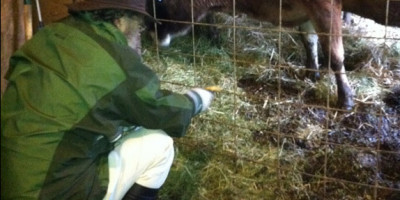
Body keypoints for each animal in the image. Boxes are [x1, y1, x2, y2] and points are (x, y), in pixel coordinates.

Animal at [145, 0, 400, 110]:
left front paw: (345, 98)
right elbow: (309, 40)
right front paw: (312, 73)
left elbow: (335, 55)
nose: (149, 31)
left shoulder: (326, 6)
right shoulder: (307, 10)